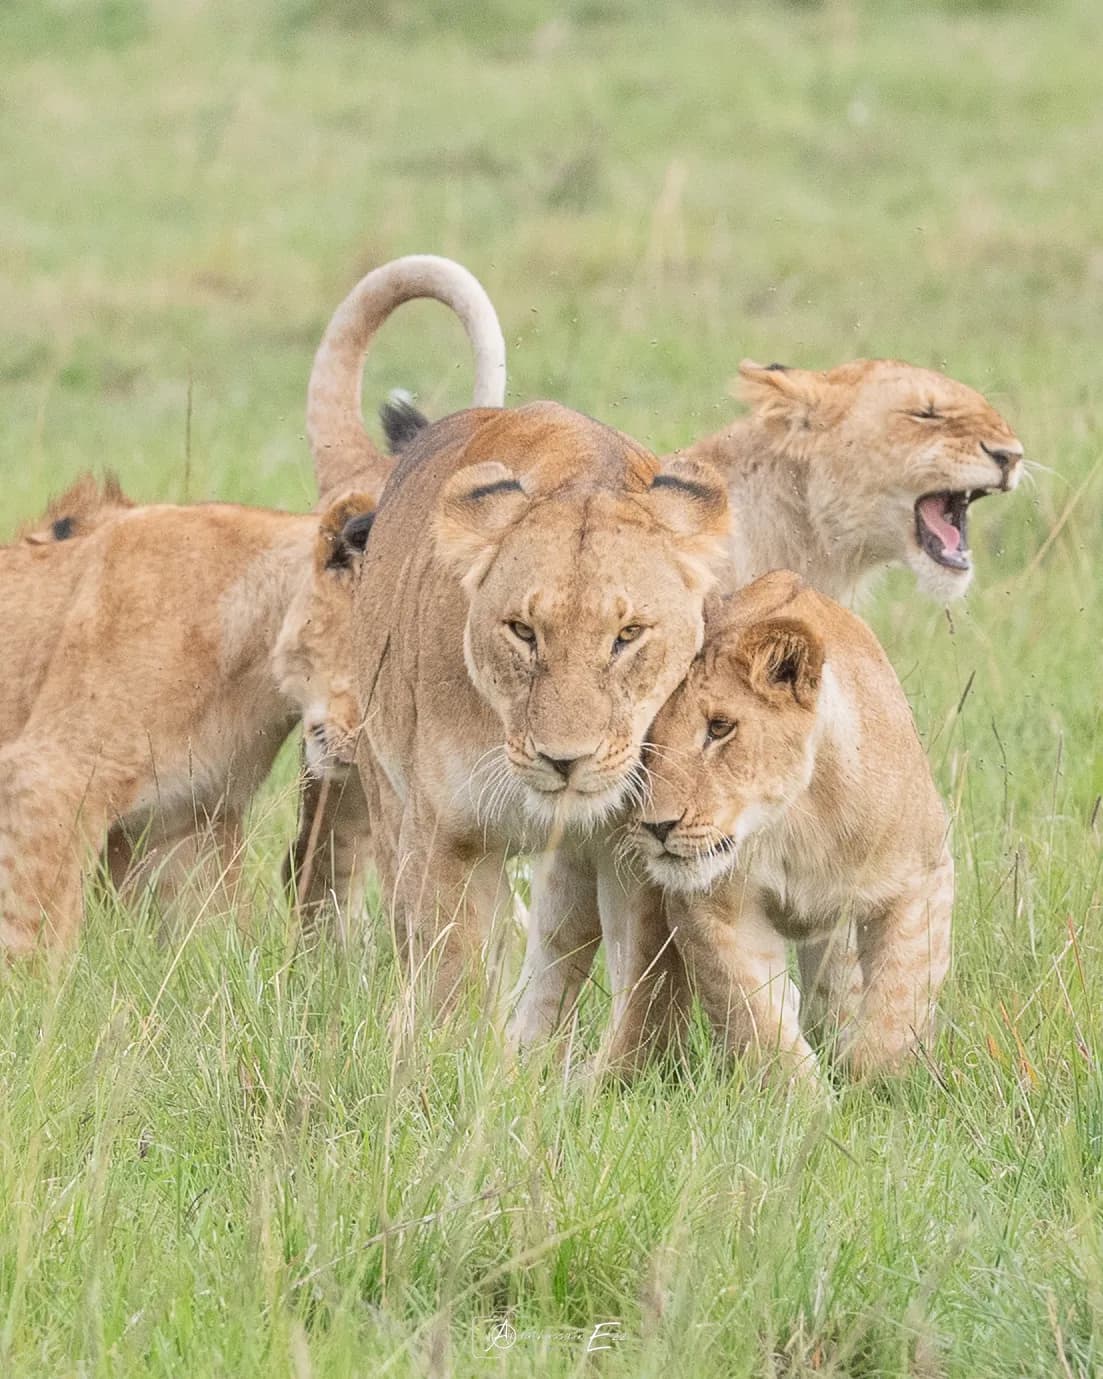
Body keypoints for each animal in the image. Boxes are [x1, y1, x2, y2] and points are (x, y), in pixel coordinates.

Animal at [344, 401, 730, 1006]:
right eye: (523, 631)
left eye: (628, 635)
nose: (564, 761)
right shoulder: (445, 839)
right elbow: (450, 986)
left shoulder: (634, 850)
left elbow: (637, 983)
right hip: (386, 797)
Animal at [620, 571, 954, 1083]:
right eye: (645, 736)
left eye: (720, 728)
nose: (659, 826)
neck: (796, 820)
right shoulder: (711, 909)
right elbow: (758, 1020)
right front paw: (806, 1097)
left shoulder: (922, 875)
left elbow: (899, 999)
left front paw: (876, 1085)